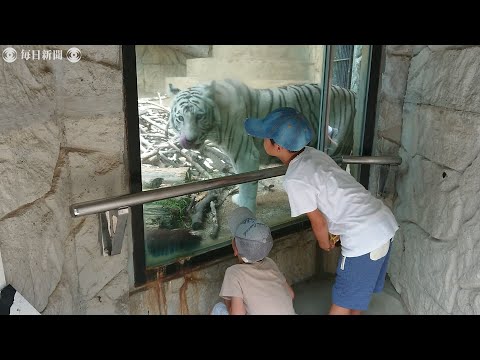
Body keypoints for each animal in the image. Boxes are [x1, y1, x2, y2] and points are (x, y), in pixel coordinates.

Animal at [169, 79, 356, 214]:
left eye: (200, 117)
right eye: (180, 118)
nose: (189, 140)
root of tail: (352, 92)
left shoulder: (245, 154)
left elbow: (245, 183)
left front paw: (244, 206)